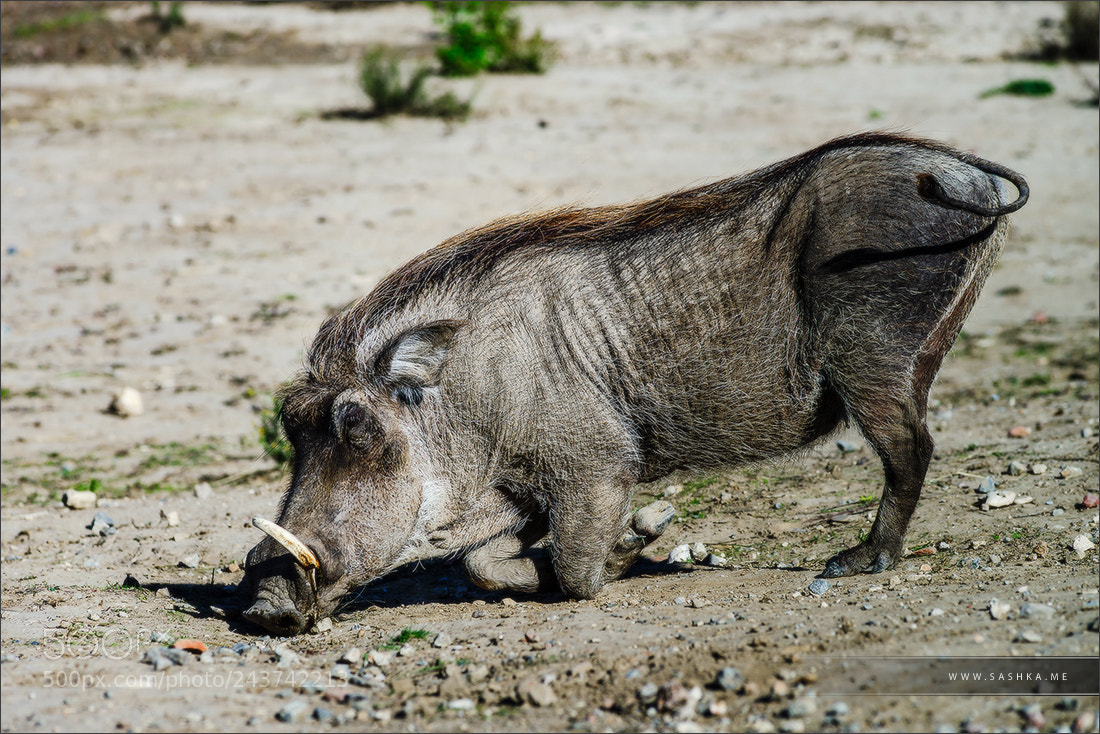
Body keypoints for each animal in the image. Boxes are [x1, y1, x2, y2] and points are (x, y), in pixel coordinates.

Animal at [244, 132, 1028, 636]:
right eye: (289, 422)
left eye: (360, 429)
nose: (262, 607)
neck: (468, 392)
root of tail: (954, 167)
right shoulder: (517, 488)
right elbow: (484, 565)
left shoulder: (594, 469)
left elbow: (576, 570)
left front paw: (643, 538)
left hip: (872, 359)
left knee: (910, 452)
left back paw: (860, 563)